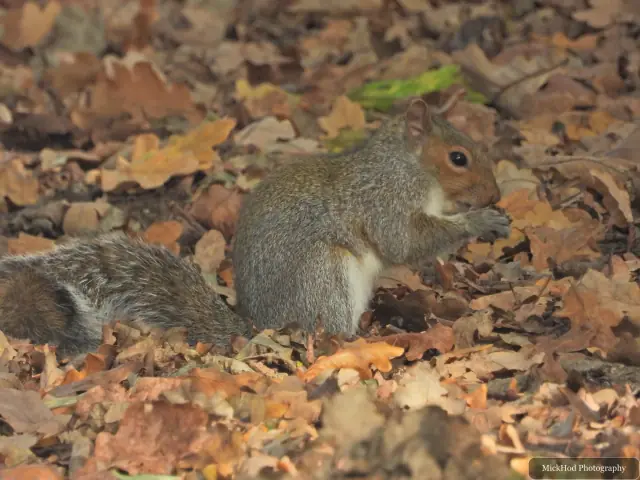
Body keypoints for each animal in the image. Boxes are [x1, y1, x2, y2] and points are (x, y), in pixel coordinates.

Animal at [233, 98, 510, 336]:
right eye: (458, 158)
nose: (494, 195)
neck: (408, 167)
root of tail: (260, 323)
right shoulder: (387, 200)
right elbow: (403, 243)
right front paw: (481, 221)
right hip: (322, 276)